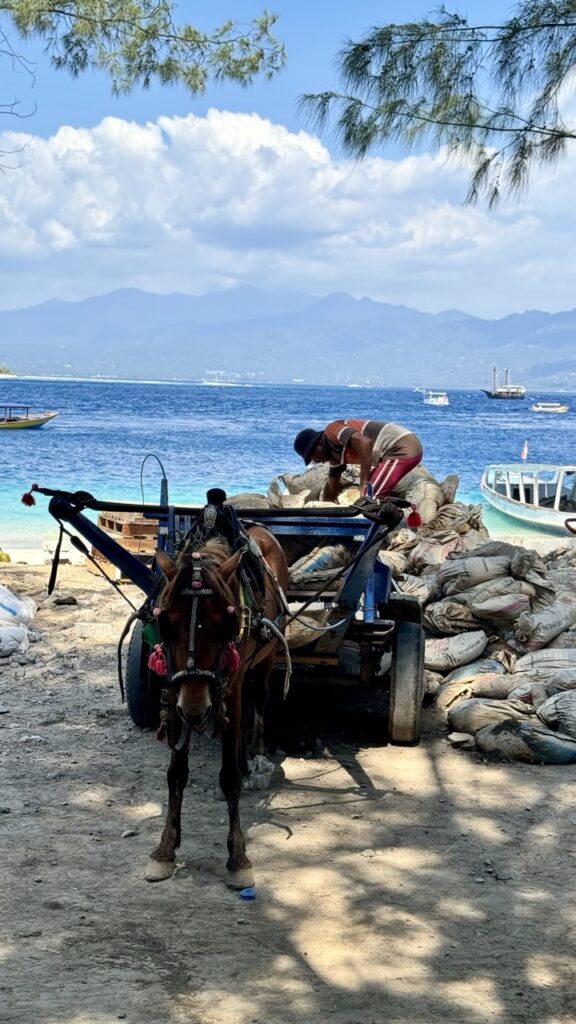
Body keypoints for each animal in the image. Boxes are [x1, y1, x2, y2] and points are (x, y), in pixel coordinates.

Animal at [143, 520, 286, 888]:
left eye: (226, 623)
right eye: (164, 622)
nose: (196, 710)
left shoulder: (228, 691)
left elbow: (229, 777)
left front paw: (238, 856)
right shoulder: (175, 691)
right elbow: (176, 774)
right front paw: (165, 849)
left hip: (264, 661)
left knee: (258, 698)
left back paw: (254, 753)